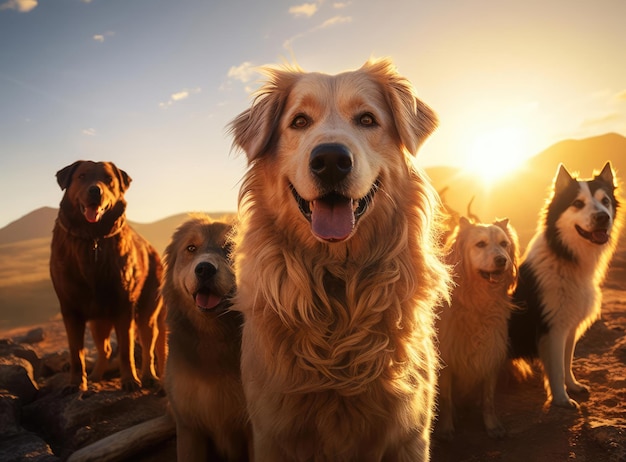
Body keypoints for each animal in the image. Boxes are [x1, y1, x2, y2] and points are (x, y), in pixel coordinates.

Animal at [49, 161, 165, 392]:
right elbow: (76, 353)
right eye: (82, 176)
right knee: (105, 350)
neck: (92, 239)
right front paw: (76, 383)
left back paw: (149, 377)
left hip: (146, 312)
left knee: (148, 346)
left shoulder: (124, 307)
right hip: (98, 322)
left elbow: (126, 351)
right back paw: (95, 376)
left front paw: (130, 380)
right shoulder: (70, 309)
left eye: (108, 179)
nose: (96, 190)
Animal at [229, 58, 448, 462]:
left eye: (367, 119)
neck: (337, 279)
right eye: (299, 121)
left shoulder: (409, 434)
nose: (330, 160)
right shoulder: (271, 431)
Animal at [434, 217, 516, 440]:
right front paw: (446, 428)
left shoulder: (490, 355)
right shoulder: (447, 358)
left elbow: (488, 400)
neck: (478, 304)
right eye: (480, 244)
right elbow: (446, 400)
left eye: (504, 244)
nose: (502, 260)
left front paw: (492, 426)